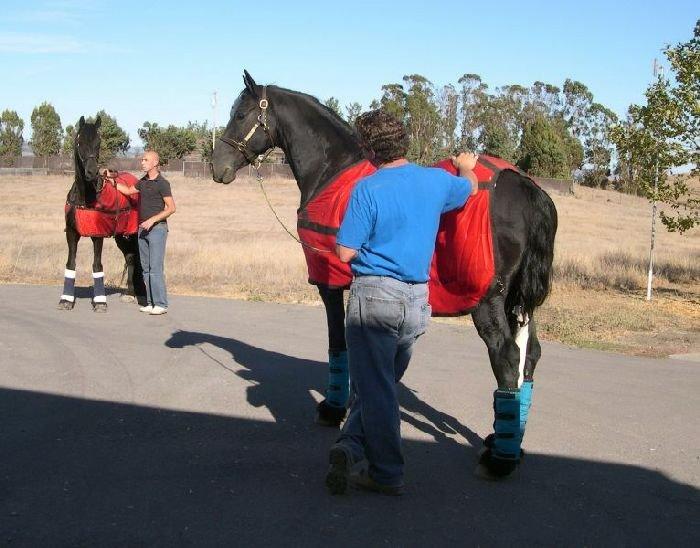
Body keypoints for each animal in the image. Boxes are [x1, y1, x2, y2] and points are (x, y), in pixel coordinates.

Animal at [58, 114, 145, 312]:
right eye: (80, 141)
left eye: (98, 142)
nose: (91, 171)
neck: (85, 197)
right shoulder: (72, 234)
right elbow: (70, 263)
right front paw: (66, 300)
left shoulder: (97, 235)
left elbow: (97, 265)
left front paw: (100, 302)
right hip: (121, 236)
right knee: (129, 257)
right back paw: (130, 292)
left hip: (132, 234)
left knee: (133, 259)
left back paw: (131, 293)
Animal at [212, 70, 556, 478]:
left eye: (241, 114)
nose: (217, 166)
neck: (333, 171)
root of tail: (524, 185)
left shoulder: (329, 283)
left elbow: (338, 344)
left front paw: (333, 408)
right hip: (520, 302)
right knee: (529, 356)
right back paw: (508, 443)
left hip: (488, 302)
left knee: (506, 357)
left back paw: (499, 459)